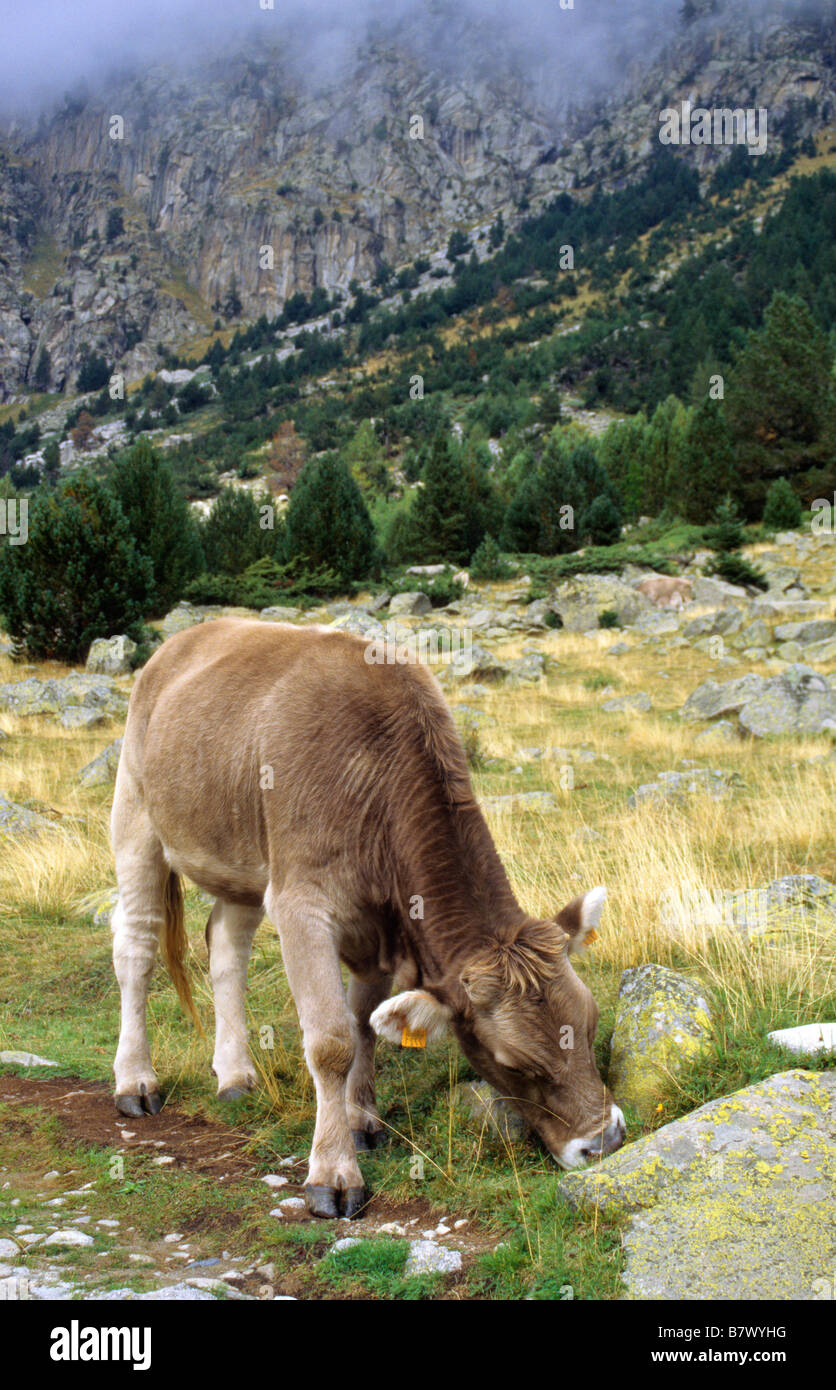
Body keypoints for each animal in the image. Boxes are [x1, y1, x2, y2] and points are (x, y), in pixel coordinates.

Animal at [109, 619, 620, 1217]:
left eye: (590, 1024)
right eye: (514, 1063)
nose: (604, 1142)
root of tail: (184, 639)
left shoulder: (377, 926)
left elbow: (364, 1026)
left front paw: (361, 1119)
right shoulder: (302, 903)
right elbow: (331, 1041)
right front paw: (333, 1172)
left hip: (244, 858)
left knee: (226, 950)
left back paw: (235, 1075)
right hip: (136, 817)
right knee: (137, 950)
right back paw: (135, 1082)